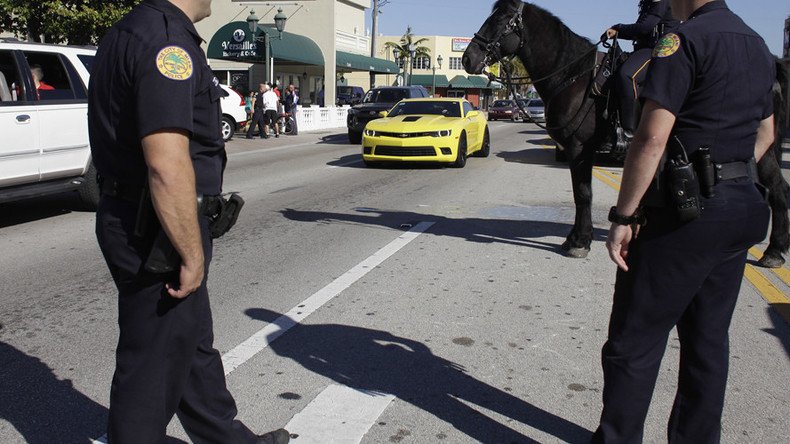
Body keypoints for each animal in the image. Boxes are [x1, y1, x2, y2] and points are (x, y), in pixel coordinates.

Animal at [460, 0, 788, 268]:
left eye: (501, 20)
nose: (467, 58)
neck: (573, 77)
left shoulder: (579, 148)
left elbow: (583, 194)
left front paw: (579, 242)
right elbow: (581, 194)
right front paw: (576, 238)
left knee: (777, 189)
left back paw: (772, 250)